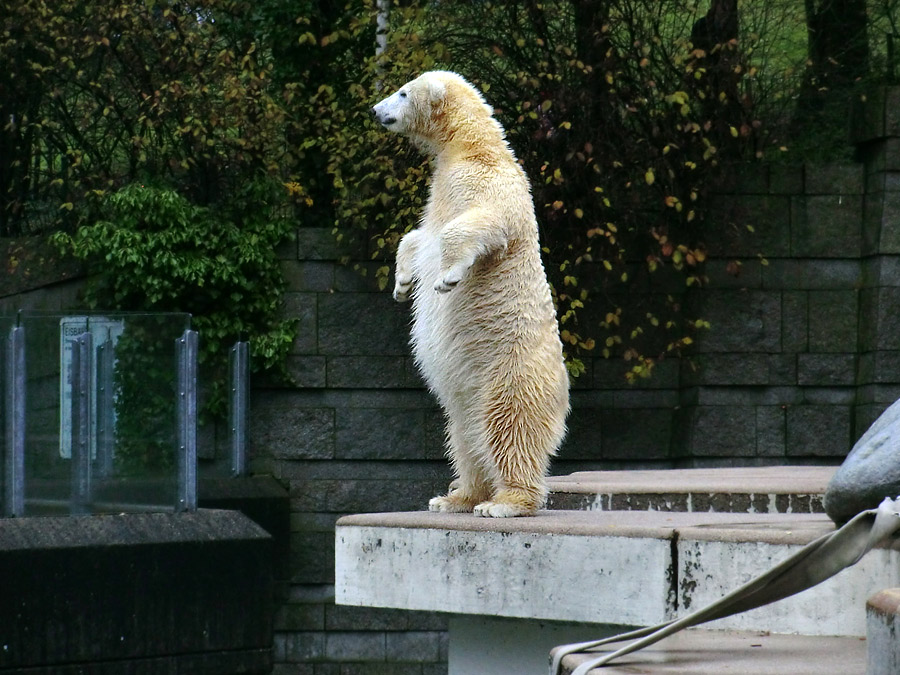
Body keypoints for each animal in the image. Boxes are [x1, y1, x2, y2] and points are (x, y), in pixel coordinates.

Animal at [370, 72, 568, 516]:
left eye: (403, 92)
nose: (375, 110)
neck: (471, 147)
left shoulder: (490, 184)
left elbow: (479, 224)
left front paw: (448, 277)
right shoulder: (441, 192)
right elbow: (418, 236)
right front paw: (403, 283)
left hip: (510, 372)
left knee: (510, 428)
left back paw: (505, 502)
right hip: (463, 391)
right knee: (463, 434)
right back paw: (455, 496)